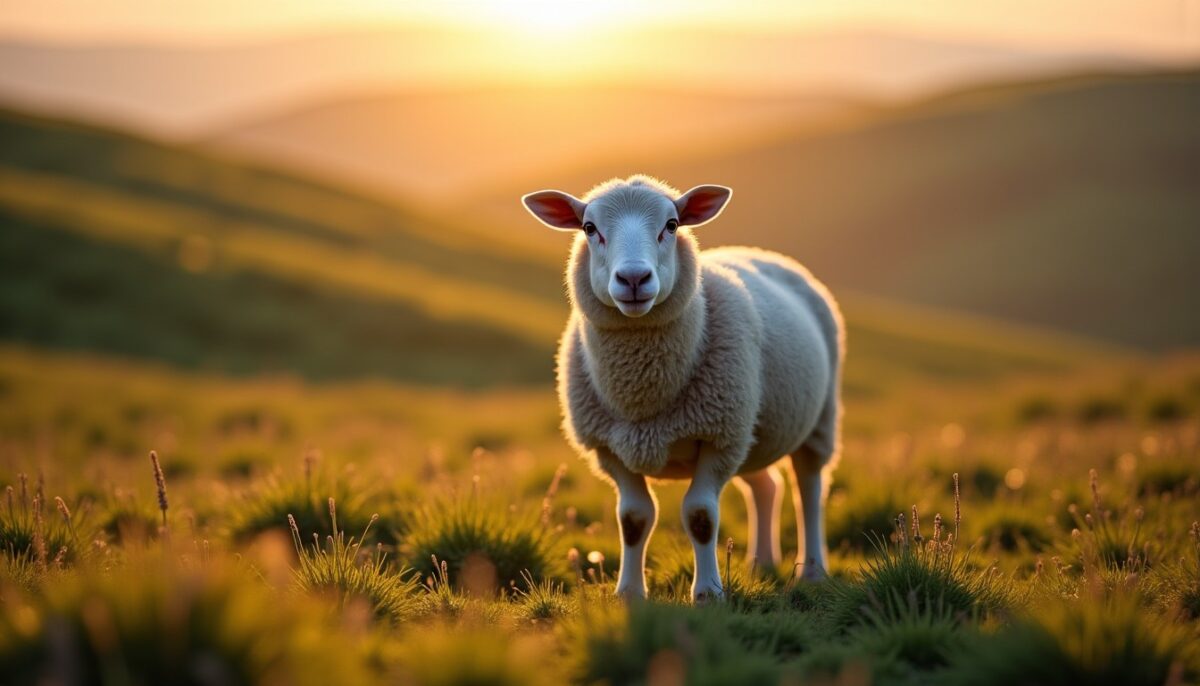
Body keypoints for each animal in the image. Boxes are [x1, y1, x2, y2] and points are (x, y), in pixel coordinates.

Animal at [522, 175, 843, 602]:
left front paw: (708, 593)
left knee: (808, 490)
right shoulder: (609, 448)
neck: (642, 395)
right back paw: (761, 564)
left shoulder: (719, 437)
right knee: (765, 487)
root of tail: (763, 253)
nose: (634, 279)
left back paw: (812, 572)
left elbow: (700, 515)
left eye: (672, 225)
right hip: (754, 431)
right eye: (590, 228)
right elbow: (633, 519)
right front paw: (628, 593)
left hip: (817, 420)